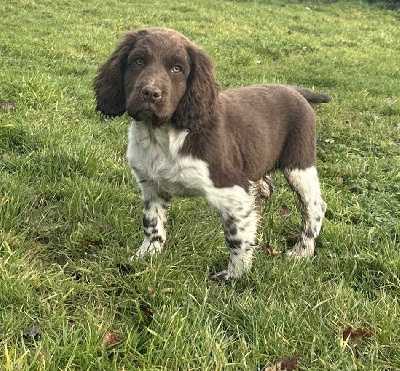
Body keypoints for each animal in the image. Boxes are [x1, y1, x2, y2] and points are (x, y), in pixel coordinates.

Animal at [93, 27, 328, 282]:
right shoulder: (151, 186)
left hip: (299, 163)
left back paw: (302, 252)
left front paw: (234, 276)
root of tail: (294, 90)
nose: (150, 93)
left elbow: (236, 236)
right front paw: (146, 256)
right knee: (265, 189)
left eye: (177, 69)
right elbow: (152, 223)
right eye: (138, 61)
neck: (161, 135)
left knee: (314, 207)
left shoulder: (232, 187)